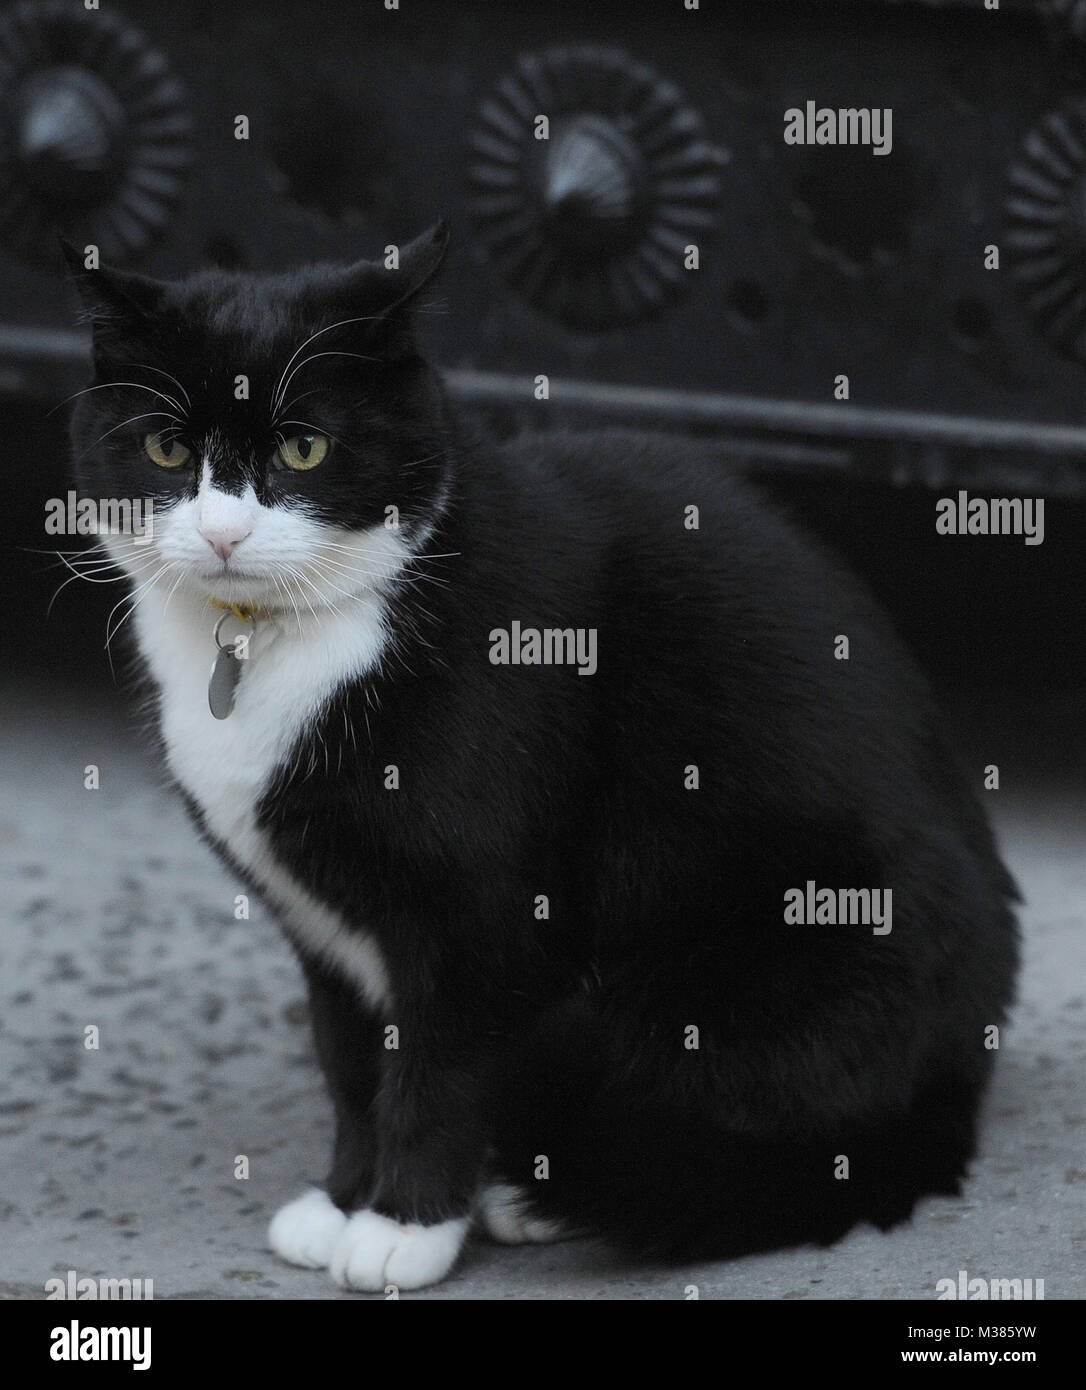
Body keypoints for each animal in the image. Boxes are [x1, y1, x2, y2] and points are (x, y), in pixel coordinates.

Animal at [65, 222, 1017, 1295]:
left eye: (306, 447)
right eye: (167, 448)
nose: (224, 535)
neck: (265, 645)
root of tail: (958, 1075)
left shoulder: (480, 909)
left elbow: (437, 1071)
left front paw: (404, 1226)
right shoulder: (321, 926)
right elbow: (352, 1064)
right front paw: (346, 1197)